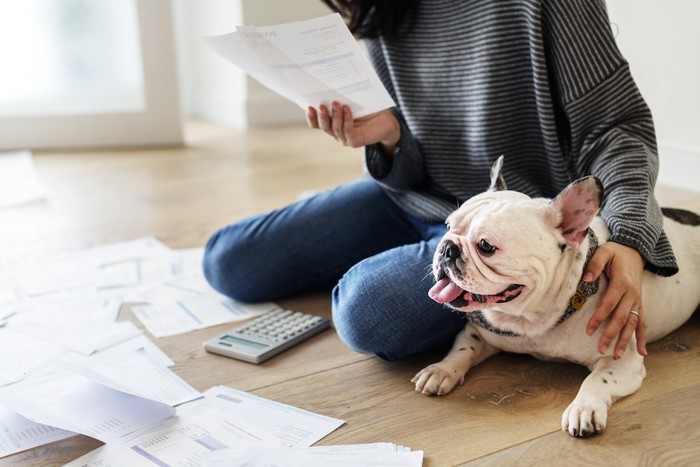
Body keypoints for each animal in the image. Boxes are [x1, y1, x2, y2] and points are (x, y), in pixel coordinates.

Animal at [412, 158, 696, 438]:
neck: (531, 319)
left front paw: (583, 408)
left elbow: (597, 380)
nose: (447, 248)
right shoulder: (478, 331)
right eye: (448, 226)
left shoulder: (622, 358)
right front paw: (441, 370)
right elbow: (462, 349)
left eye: (486, 246)